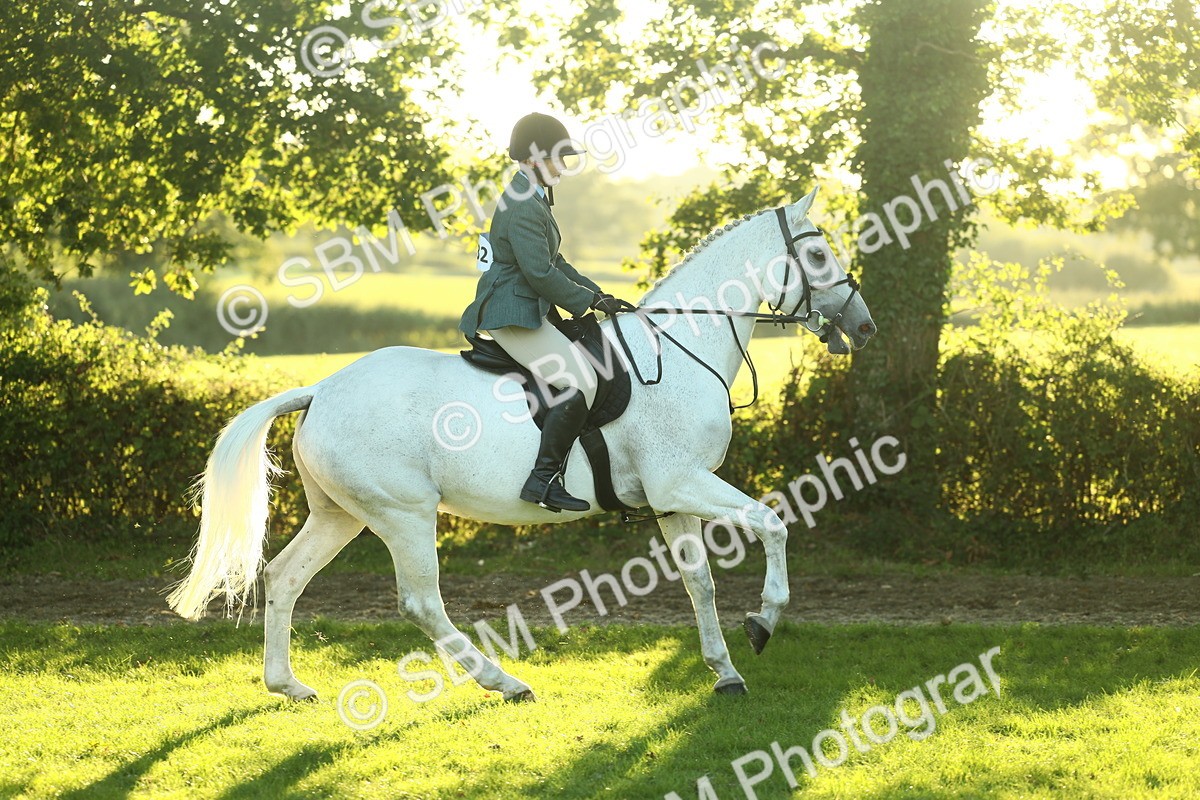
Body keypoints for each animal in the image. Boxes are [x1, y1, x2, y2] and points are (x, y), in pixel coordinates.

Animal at [167, 187, 876, 702]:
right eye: (818, 257)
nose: (864, 327)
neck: (679, 347)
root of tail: (321, 389)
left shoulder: (674, 498)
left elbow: (698, 582)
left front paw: (725, 671)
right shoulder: (682, 483)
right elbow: (773, 522)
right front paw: (764, 623)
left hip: (341, 514)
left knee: (284, 577)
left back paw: (287, 685)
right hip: (402, 513)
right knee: (421, 602)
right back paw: (504, 682)